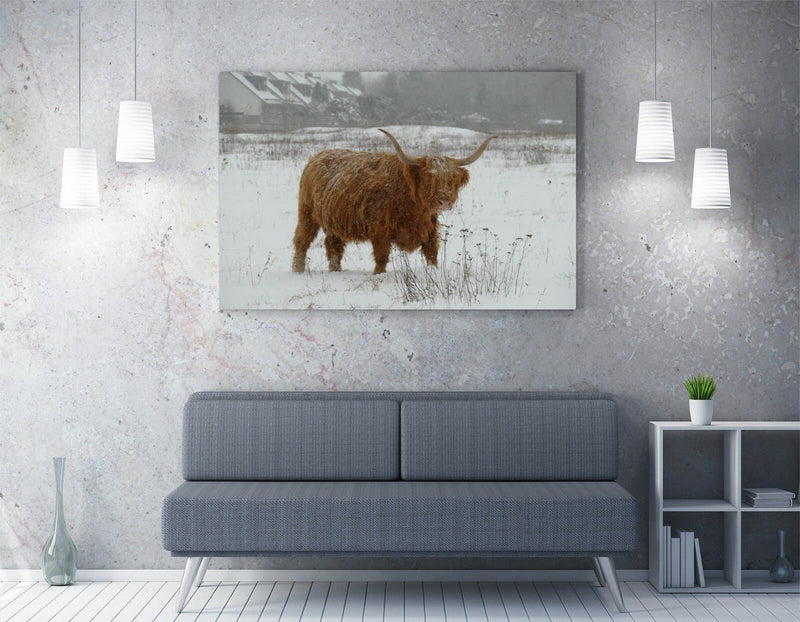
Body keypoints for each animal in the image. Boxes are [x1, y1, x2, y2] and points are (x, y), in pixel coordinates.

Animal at [291, 128, 497, 275]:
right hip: (307, 213)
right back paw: (297, 270)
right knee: (302, 240)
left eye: (452, 178)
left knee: (333, 246)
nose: (444, 201)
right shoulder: (380, 229)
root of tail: (314, 158)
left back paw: (336, 270)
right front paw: (378, 275)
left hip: (334, 219)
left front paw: (434, 273)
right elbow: (382, 256)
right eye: (429, 177)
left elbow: (432, 254)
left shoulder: (430, 228)